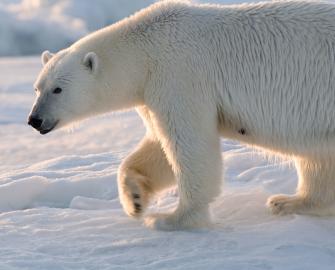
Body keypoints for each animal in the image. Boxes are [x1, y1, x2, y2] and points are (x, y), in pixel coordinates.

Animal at [27, 0, 335, 230]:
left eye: (57, 89)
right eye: (37, 88)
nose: (34, 120)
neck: (144, 49)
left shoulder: (178, 74)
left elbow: (188, 144)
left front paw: (171, 219)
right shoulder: (151, 91)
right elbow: (158, 146)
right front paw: (135, 199)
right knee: (316, 157)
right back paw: (290, 201)